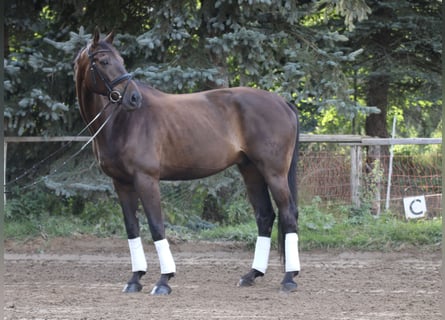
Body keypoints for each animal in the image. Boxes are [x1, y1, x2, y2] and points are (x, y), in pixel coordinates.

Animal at [74, 29, 300, 296]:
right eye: (104, 61)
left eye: (121, 60)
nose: (133, 98)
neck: (121, 122)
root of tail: (282, 102)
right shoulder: (121, 183)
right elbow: (132, 228)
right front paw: (135, 279)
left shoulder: (146, 179)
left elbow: (156, 226)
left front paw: (164, 280)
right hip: (251, 170)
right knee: (264, 216)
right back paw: (252, 275)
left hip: (274, 172)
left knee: (288, 214)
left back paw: (289, 278)